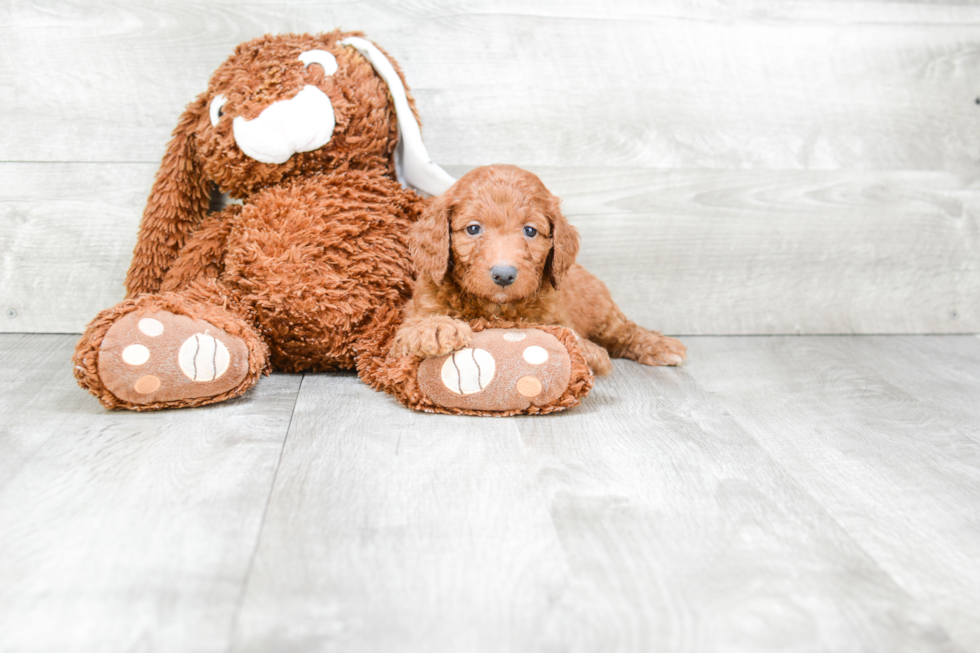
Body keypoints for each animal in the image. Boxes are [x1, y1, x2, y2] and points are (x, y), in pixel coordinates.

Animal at [392, 164, 688, 372]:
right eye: (473, 229)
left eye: (530, 231)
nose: (504, 275)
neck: (495, 308)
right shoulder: (413, 314)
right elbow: (414, 326)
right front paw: (436, 328)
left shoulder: (553, 317)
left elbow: (564, 334)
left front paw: (588, 351)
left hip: (601, 309)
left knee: (621, 330)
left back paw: (660, 344)